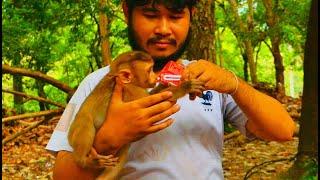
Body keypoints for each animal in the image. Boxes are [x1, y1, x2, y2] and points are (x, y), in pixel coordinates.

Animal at [67, 51, 205, 180]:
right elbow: (151, 103)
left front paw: (166, 82)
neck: (121, 80)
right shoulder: (132, 90)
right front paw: (186, 86)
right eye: (149, 70)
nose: (155, 76)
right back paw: (84, 161)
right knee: (86, 126)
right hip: (77, 130)